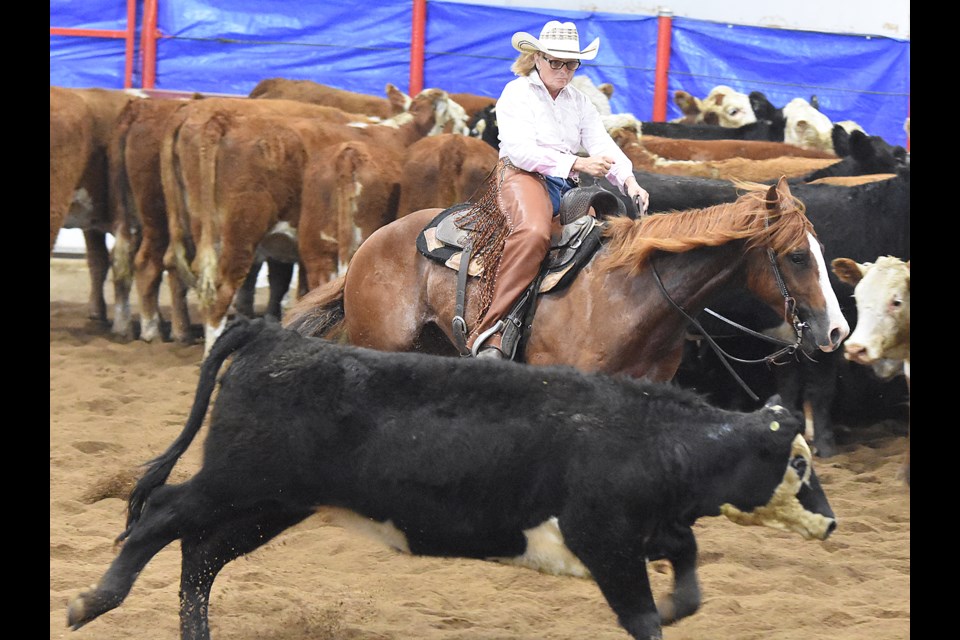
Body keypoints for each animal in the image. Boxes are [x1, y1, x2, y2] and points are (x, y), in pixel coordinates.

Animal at [67, 318, 836, 640]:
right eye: (797, 462)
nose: (831, 521)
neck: (649, 437)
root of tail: (275, 335)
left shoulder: (644, 533)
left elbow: (687, 562)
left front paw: (684, 603)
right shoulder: (605, 541)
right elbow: (646, 615)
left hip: (274, 503)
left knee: (199, 555)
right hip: (236, 481)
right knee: (162, 515)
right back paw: (91, 601)